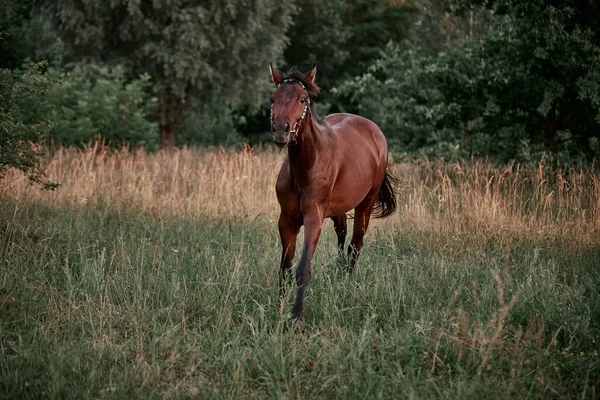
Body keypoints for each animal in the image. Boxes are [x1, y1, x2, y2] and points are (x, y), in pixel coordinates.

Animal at [270, 61, 396, 322]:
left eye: (302, 99)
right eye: (272, 98)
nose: (280, 130)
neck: (306, 166)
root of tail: (373, 130)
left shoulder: (313, 218)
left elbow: (302, 269)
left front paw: (296, 317)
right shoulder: (286, 220)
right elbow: (285, 268)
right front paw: (278, 309)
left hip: (365, 204)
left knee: (355, 244)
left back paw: (347, 281)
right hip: (338, 208)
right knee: (342, 233)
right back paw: (338, 274)